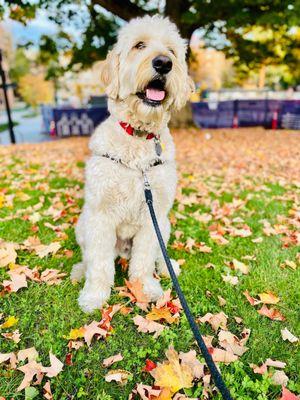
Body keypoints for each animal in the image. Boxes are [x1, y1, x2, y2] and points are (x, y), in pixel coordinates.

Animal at [72, 14, 196, 312]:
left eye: (172, 50)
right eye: (139, 45)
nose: (163, 63)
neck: (139, 137)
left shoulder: (154, 217)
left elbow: (144, 259)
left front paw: (145, 287)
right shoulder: (100, 216)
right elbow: (99, 263)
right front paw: (95, 295)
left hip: (165, 224)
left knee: (157, 255)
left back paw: (167, 268)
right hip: (82, 224)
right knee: (89, 256)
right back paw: (80, 270)